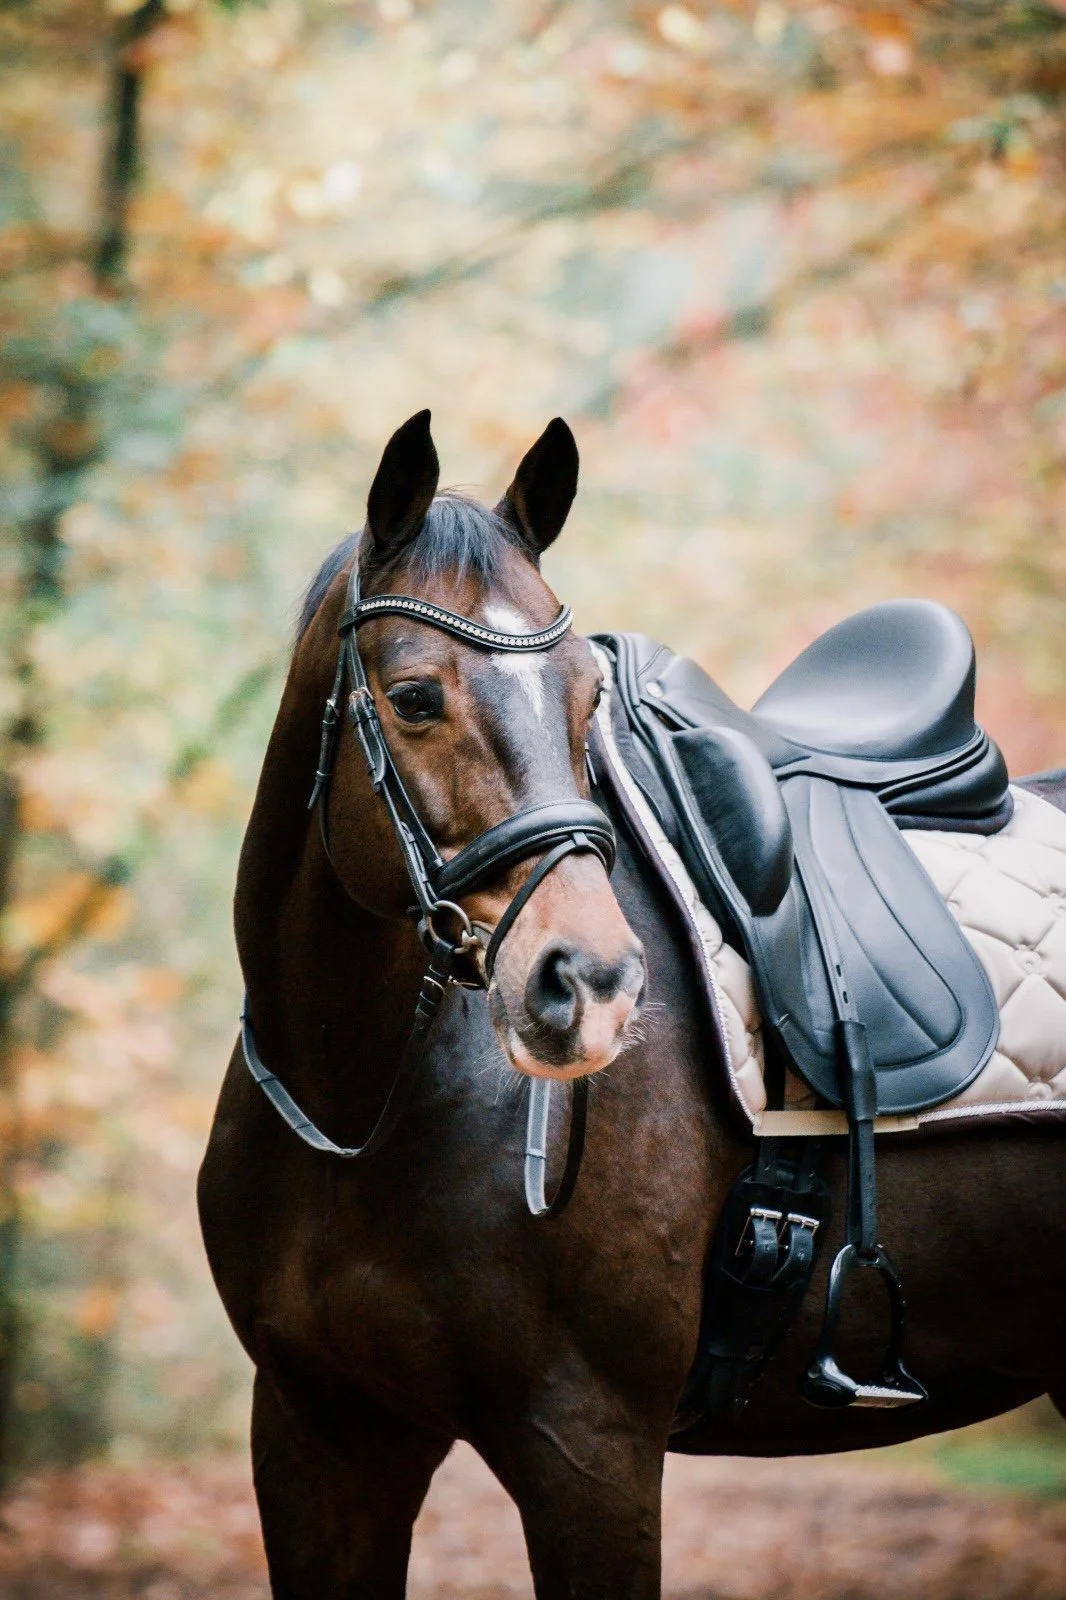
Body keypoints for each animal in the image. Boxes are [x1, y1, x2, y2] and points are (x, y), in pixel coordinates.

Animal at [198, 410, 1066, 1599]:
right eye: (416, 697)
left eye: (583, 698)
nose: (595, 983)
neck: (357, 1103)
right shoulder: (317, 1436)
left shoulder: (587, 1444)